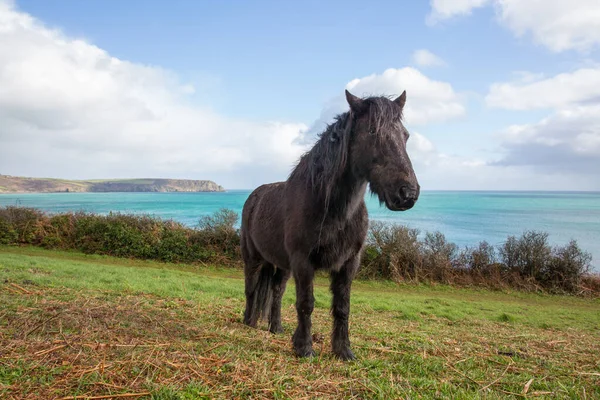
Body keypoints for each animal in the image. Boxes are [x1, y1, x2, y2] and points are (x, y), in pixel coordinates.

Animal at [241, 90, 420, 360]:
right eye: (372, 131)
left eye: (406, 135)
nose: (408, 193)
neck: (332, 209)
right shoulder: (303, 261)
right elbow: (306, 303)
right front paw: (304, 348)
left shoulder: (349, 263)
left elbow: (342, 307)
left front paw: (343, 350)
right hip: (253, 258)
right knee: (251, 289)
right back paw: (248, 321)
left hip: (281, 265)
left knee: (277, 292)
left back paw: (276, 327)